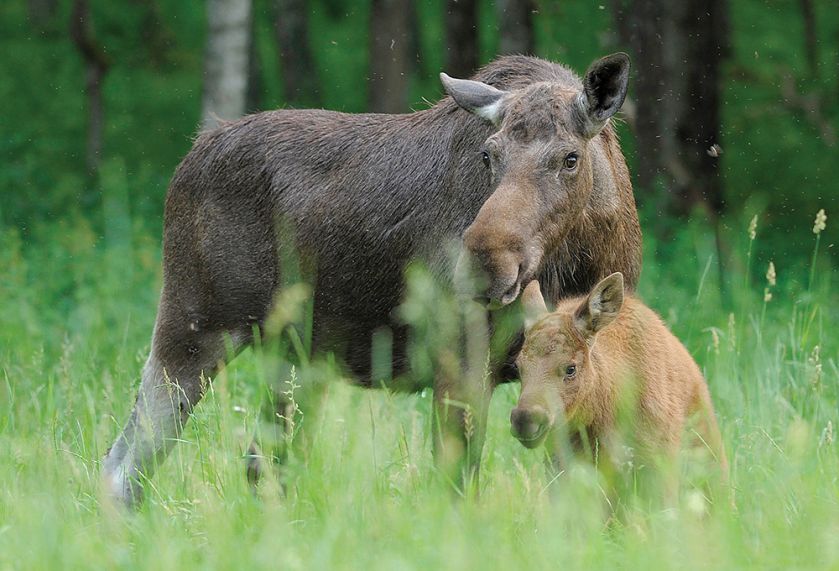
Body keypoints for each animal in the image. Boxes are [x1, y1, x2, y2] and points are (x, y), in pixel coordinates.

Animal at [105, 53, 644, 508]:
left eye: (570, 157)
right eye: (488, 155)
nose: (486, 263)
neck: (580, 260)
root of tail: (188, 159)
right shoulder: (461, 362)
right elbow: (457, 487)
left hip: (294, 358)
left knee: (261, 463)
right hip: (193, 328)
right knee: (125, 463)